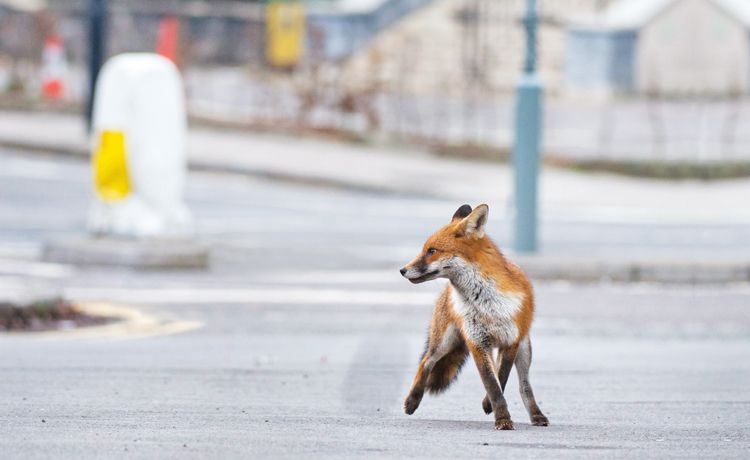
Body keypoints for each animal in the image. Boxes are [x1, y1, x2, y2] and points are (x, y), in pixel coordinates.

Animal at [400, 203, 552, 430]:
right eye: (424, 249)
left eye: (432, 251)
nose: (402, 270)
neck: (485, 303)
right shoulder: (477, 342)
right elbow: (492, 384)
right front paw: (502, 418)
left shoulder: (511, 341)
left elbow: (501, 377)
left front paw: (492, 407)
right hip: (445, 340)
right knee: (426, 361)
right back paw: (412, 401)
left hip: (524, 350)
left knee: (524, 385)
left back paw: (536, 415)